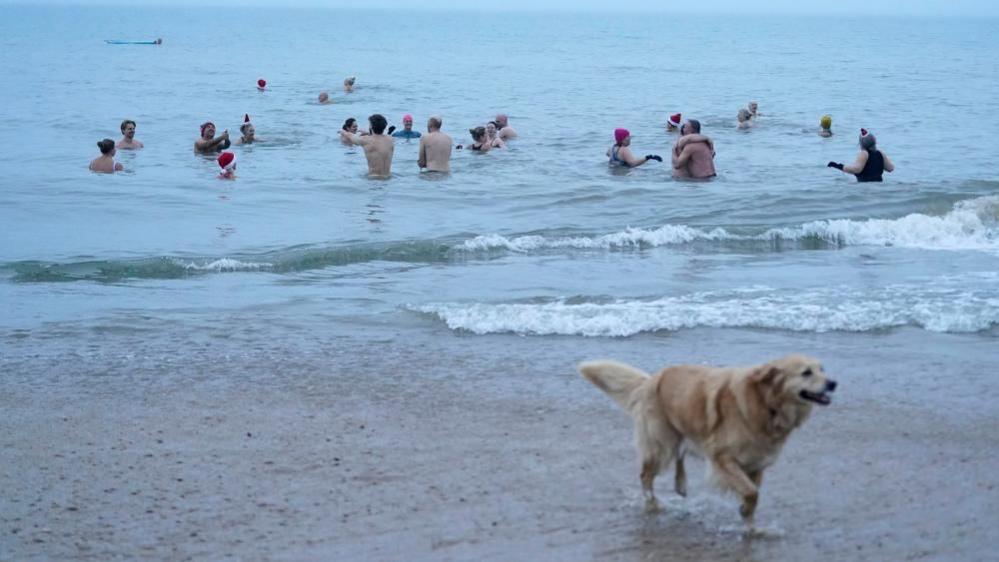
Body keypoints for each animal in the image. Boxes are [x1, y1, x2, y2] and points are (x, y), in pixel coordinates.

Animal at [580, 354, 836, 524]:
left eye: (822, 369)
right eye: (806, 372)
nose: (833, 383)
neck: (767, 403)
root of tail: (651, 380)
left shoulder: (756, 465)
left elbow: (753, 492)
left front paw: (750, 525)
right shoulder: (722, 457)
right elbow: (751, 492)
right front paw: (745, 512)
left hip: (682, 428)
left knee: (681, 453)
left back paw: (680, 485)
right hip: (661, 442)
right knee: (646, 474)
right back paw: (653, 504)